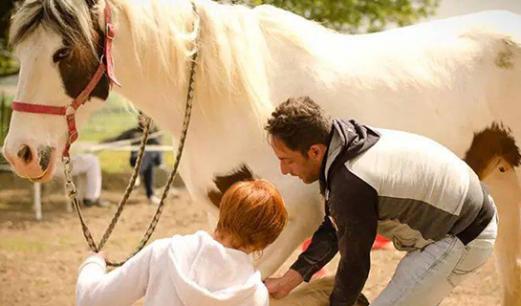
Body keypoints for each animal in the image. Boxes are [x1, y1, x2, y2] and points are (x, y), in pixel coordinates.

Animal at [3, 0, 520, 304]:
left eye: (63, 52)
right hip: (503, 184)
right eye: (21, 51)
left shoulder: (296, 218)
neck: (217, 93)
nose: (20, 153)